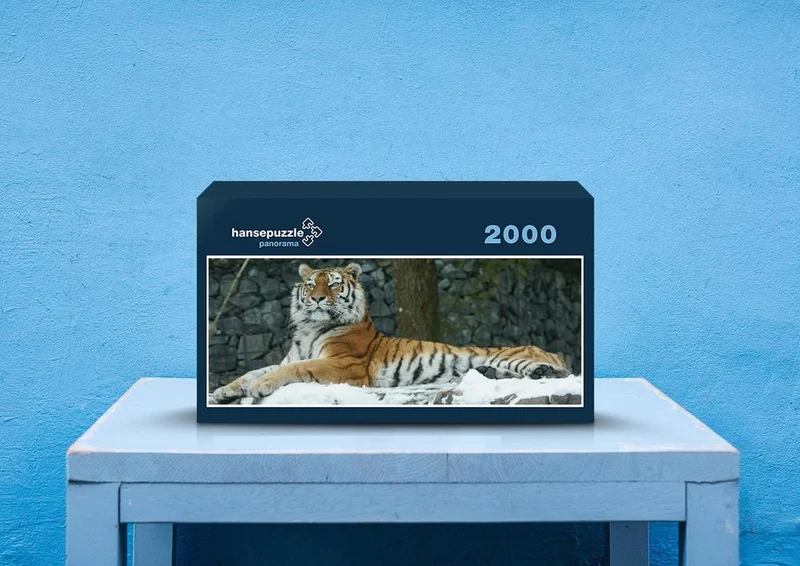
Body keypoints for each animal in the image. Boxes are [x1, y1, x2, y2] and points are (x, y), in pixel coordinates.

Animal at [210, 262, 571, 404]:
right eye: (311, 284)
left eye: (334, 284)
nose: (316, 299)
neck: (310, 329)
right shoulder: (290, 356)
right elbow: (254, 370)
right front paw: (224, 390)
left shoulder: (344, 364)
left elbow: (295, 369)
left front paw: (260, 386)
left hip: (513, 357)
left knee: (559, 373)